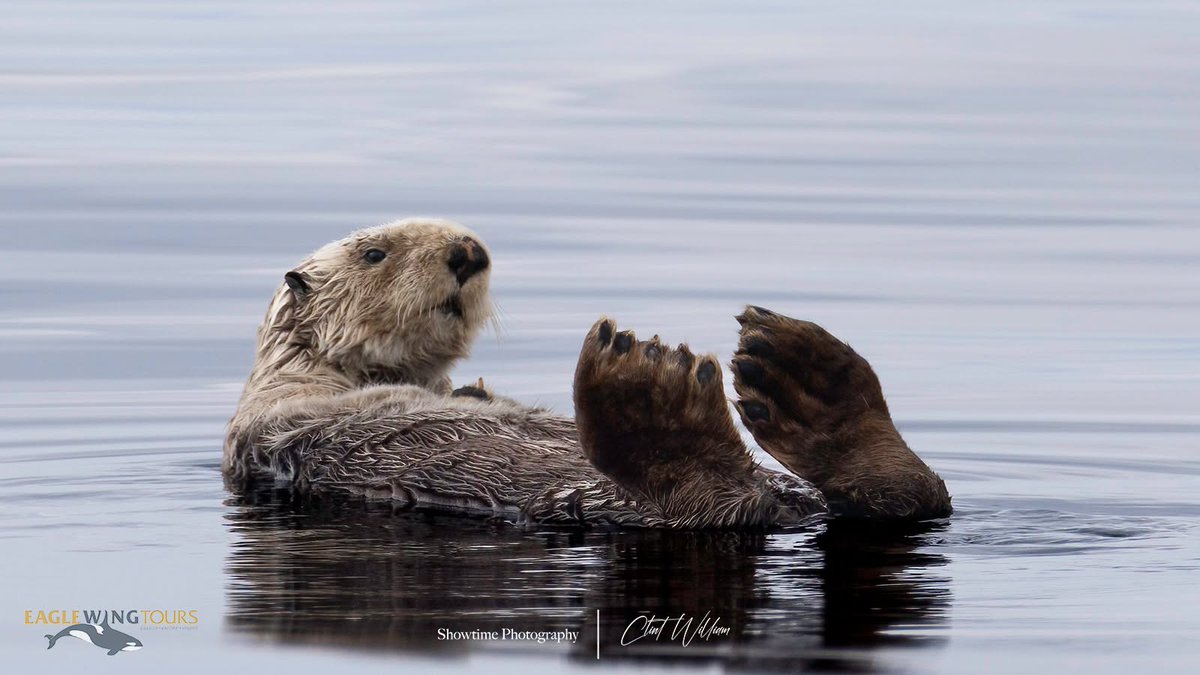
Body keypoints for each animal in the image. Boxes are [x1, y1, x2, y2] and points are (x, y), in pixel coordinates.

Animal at [224, 218, 951, 527]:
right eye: (374, 253)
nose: (467, 251)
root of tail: (784, 510)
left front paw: (472, 387)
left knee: (909, 496)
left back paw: (806, 380)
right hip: (666, 501)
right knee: (704, 498)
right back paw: (650, 386)